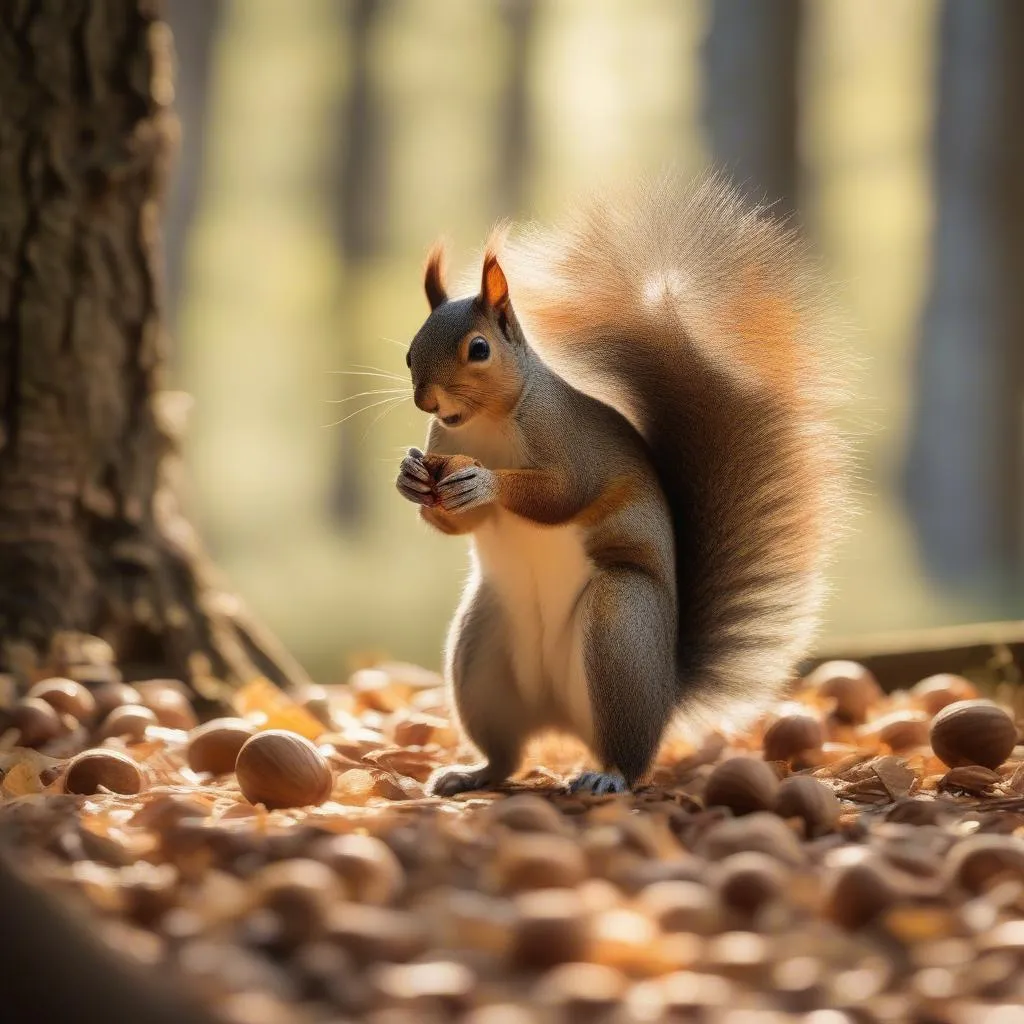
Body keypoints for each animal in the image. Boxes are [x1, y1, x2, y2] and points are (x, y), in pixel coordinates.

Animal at [395, 174, 851, 798]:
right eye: (410, 350)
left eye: (479, 349)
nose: (426, 400)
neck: (485, 424)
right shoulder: (443, 440)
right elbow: (453, 519)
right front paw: (411, 481)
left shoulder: (571, 445)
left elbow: (562, 493)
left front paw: (483, 482)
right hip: (480, 658)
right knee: (505, 755)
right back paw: (473, 773)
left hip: (617, 630)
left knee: (629, 755)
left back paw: (607, 776)